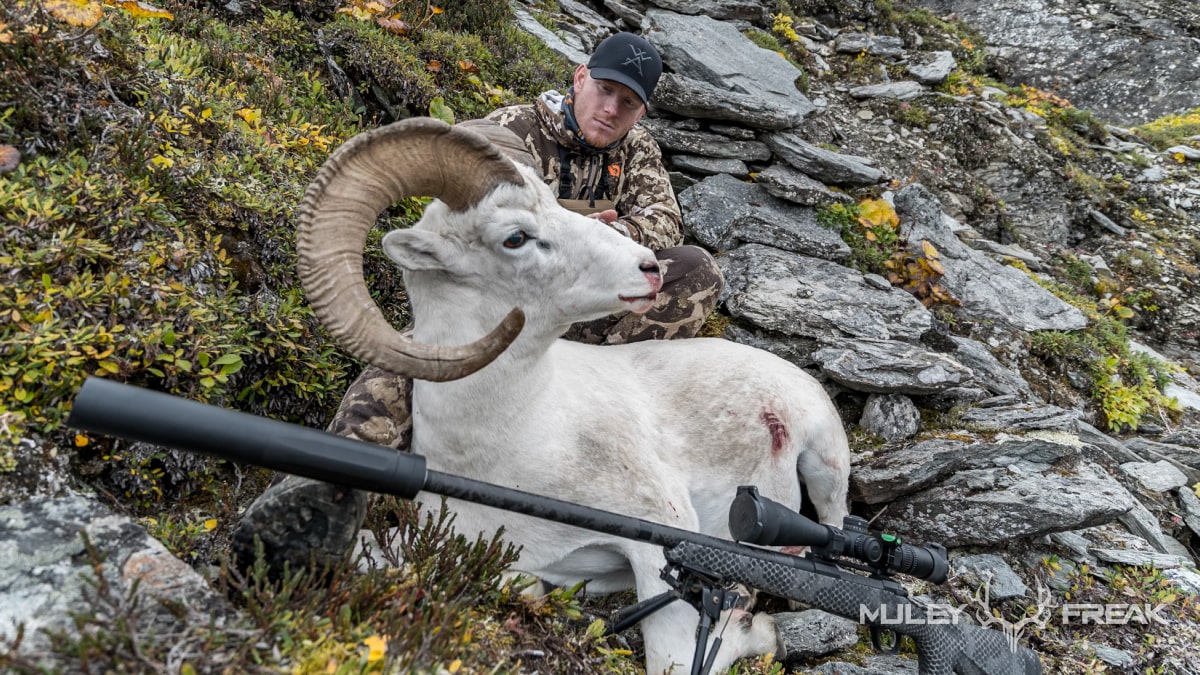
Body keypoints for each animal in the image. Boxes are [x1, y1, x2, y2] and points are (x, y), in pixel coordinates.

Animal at [294, 118, 849, 667]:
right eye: (516, 237)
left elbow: (675, 655)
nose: (648, 267)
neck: (511, 439)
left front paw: (758, 631)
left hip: (828, 467)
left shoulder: (661, 537)